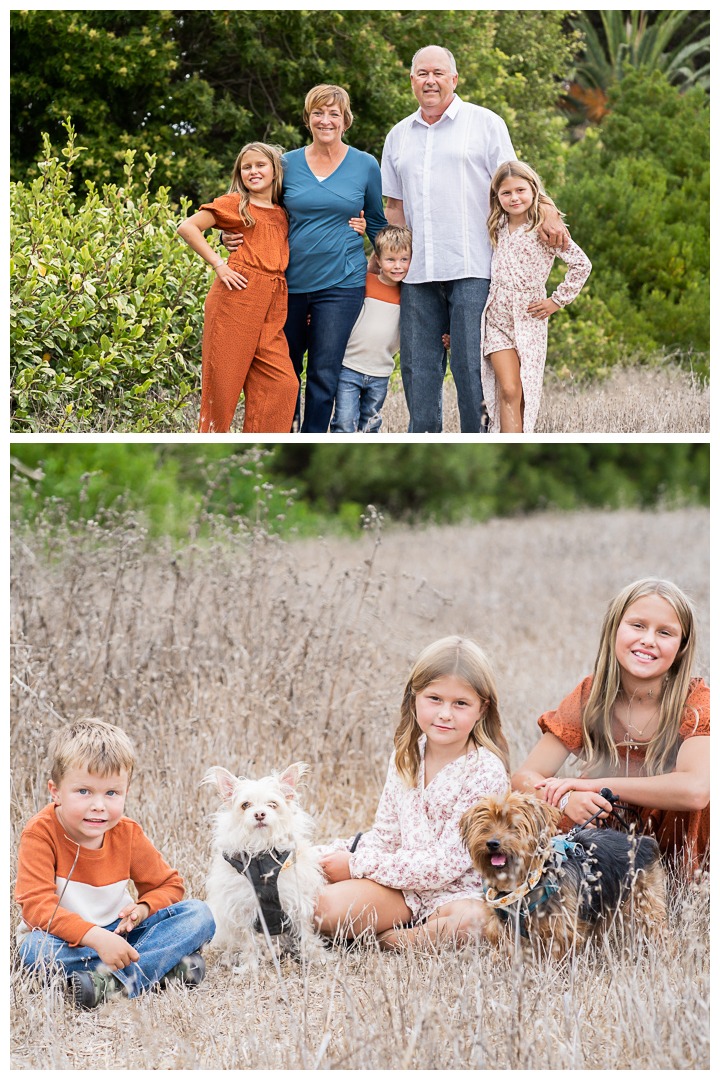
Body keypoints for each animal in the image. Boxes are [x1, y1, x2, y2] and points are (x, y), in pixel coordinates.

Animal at [204, 760, 325, 963]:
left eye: (272, 804)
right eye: (245, 805)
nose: (260, 814)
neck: (261, 852)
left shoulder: (298, 901)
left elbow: (307, 934)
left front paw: (317, 957)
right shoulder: (242, 909)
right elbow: (249, 943)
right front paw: (250, 966)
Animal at [459, 790, 669, 959]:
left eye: (514, 826)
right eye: (485, 826)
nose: (492, 843)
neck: (525, 884)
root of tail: (642, 841)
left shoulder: (560, 927)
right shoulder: (504, 926)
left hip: (643, 901)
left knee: (654, 926)